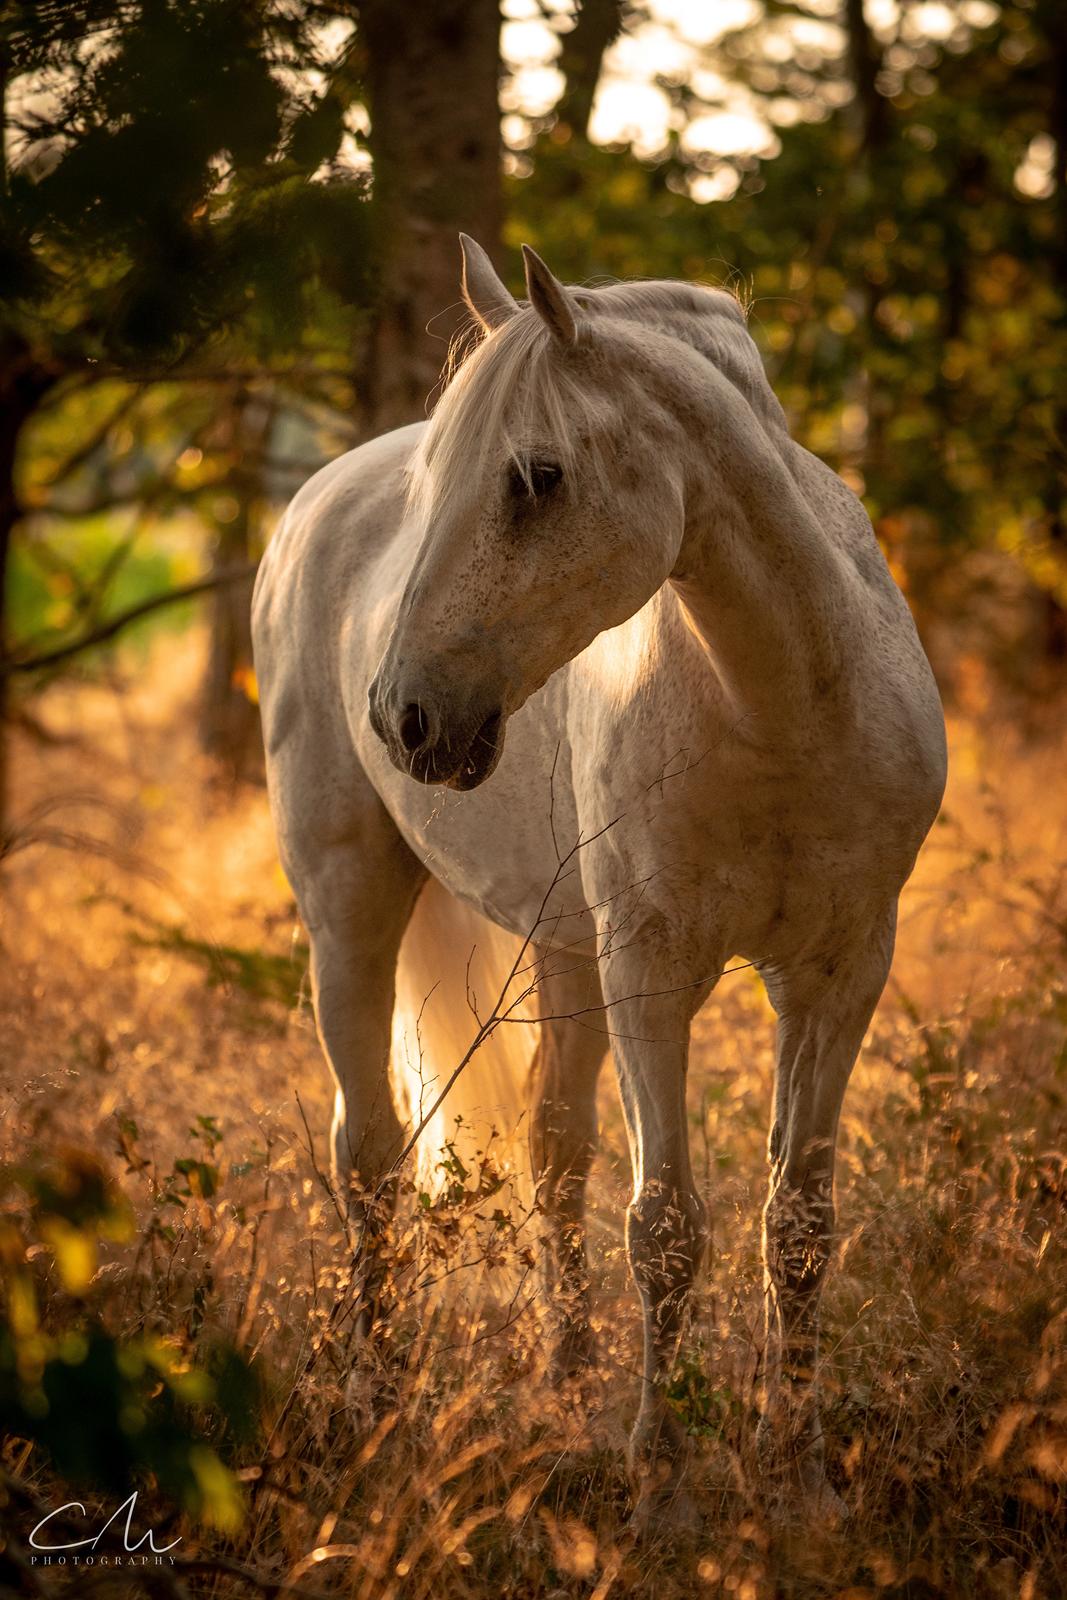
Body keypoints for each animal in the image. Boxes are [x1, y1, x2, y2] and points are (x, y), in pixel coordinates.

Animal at [254, 233, 947, 1523]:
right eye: (436, 486)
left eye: (537, 477)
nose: (403, 716)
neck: (783, 701)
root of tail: (312, 504)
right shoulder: (651, 969)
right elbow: (665, 1226)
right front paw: (659, 1475)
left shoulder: (839, 971)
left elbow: (798, 1223)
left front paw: (792, 1468)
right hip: (349, 909)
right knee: (369, 1158)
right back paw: (379, 1404)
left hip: (559, 945)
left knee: (551, 1152)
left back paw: (565, 1384)